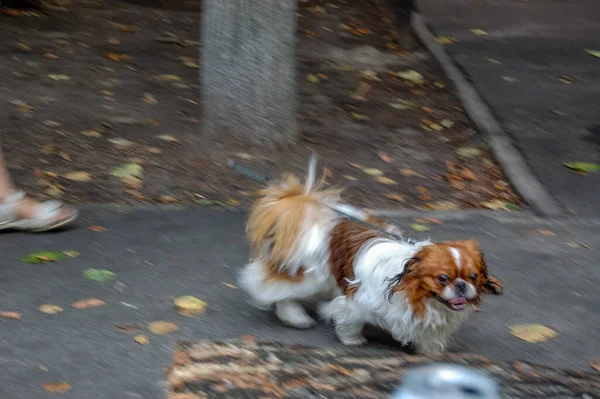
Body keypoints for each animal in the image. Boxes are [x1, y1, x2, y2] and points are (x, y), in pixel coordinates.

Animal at [239, 159, 502, 354]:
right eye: (443, 278)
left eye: (472, 277)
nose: (461, 286)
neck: (415, 294)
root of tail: (307, 208)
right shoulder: (357, 302)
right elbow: (349, 321)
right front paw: (352, 340)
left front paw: (429, 353)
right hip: (309, 277)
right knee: (278, 289)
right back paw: (295, 316)